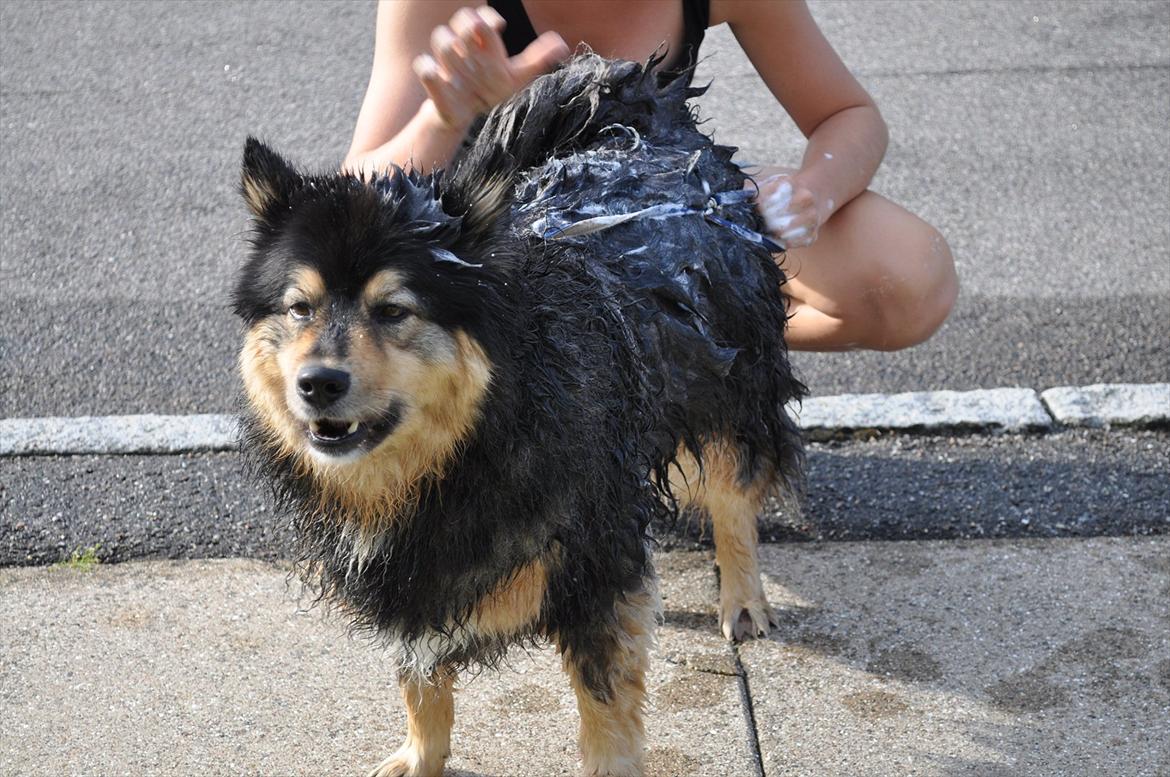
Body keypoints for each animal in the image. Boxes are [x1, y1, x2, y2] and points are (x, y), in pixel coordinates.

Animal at [237, 54, 804, 777]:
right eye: (299, 307)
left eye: (393, 310)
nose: (316, 383)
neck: (474, 443)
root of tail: (642, 114)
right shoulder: (412, 582)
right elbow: (419, 679)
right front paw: (421, 755)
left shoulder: (596, 567)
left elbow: (606, 710)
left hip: (731, 381)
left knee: (735, 493)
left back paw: (743, 597)